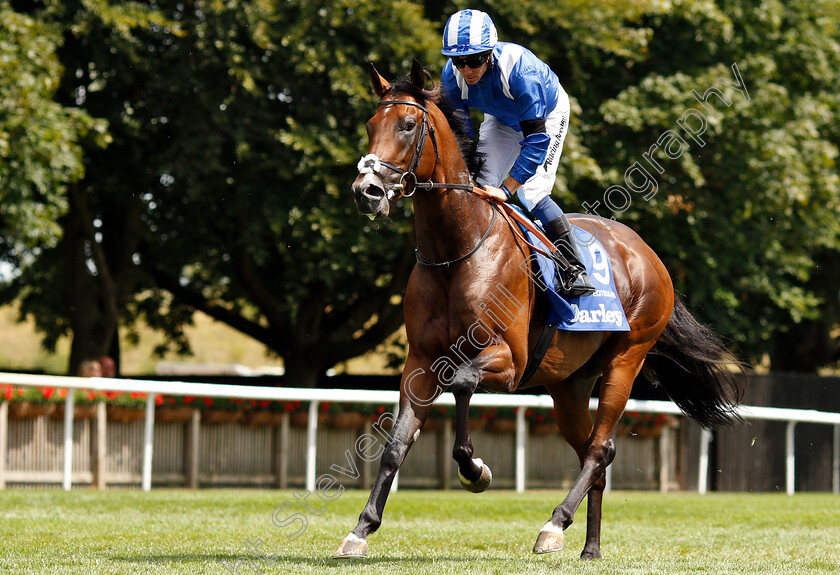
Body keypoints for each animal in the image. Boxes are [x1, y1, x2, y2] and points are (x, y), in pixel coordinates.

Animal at [334, 60, 740, 560]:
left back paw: (554, 524)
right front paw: (360, 529)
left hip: (627, 358)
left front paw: (476, 470)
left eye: (408, 125)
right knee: (590, 451)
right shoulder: (421, 362)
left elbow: (463, 383)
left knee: (601, 448)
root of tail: (648, 254)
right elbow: (396, 443)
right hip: (568, 384)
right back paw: (589, 547)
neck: (458, 248)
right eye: (370, 125)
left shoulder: (509, 361)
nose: (366, 190)